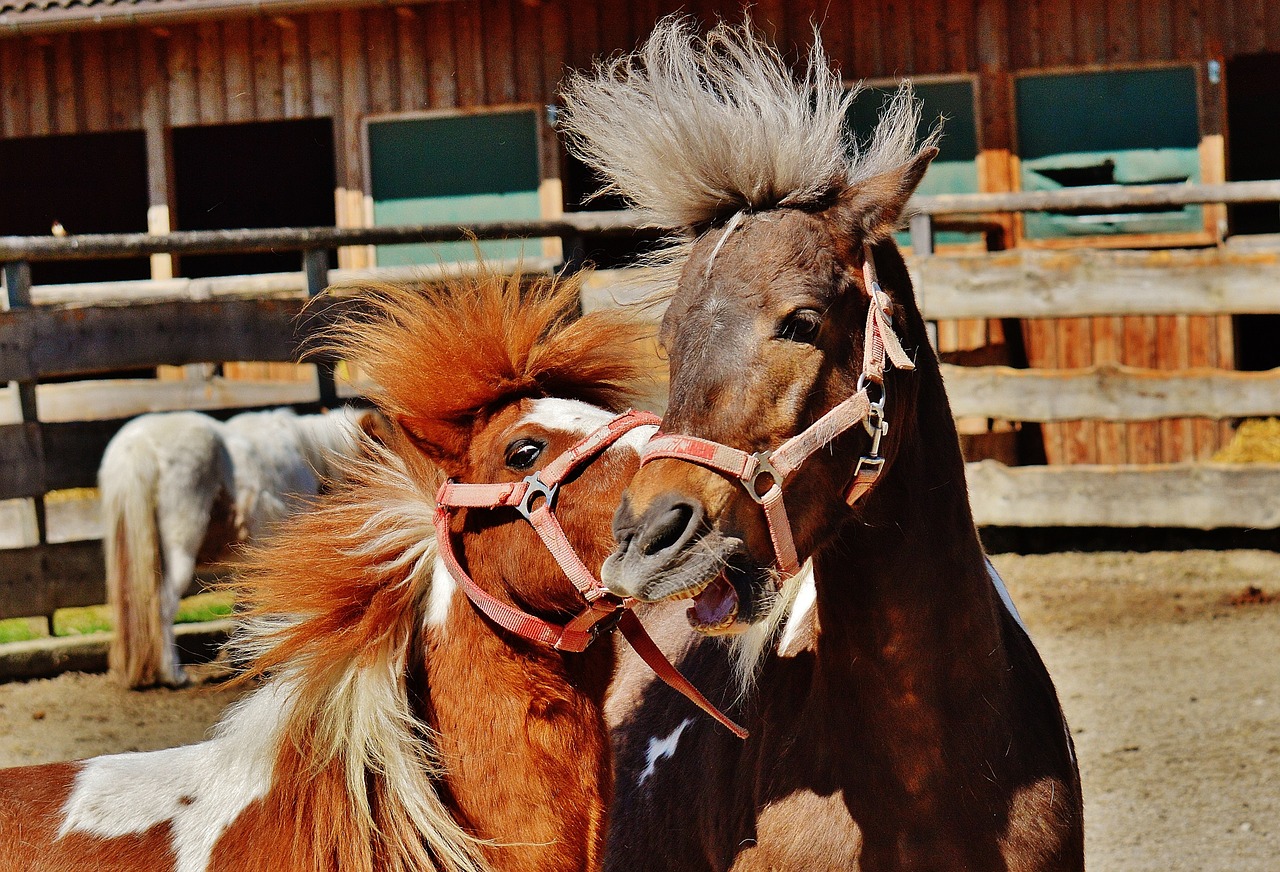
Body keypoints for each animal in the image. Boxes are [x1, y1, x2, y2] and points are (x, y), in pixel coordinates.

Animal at [97, 407, 381, 686]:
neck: (308, 453)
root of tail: (138, 443)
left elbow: (244, 607)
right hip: (179, 552)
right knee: (164, 607)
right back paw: (173, 675)